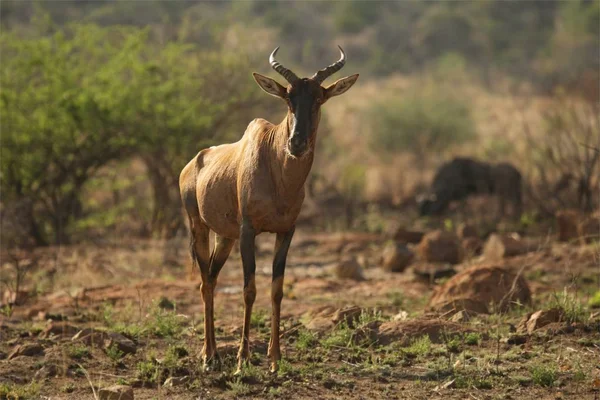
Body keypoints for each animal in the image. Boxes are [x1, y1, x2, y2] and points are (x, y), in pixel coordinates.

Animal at [178, 46, 356, 372]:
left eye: (319, 98)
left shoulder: (286, 232)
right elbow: (250, 290)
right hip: (199, 226)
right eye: (288, 98)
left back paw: (214, 354)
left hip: (226, 236)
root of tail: (194, 162)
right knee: (205, 283)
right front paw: (243, 358)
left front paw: (275, 359)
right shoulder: (249, 232)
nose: (296, 144)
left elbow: (277, 290)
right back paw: (209, 356)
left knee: (212, 277)